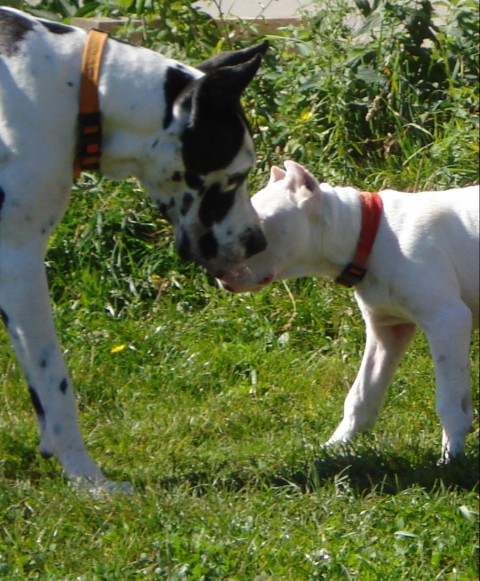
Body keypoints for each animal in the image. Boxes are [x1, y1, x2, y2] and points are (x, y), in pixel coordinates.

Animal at [0, 10, 268, 490]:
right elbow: (55, 385)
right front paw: (89, 480)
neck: (75, 87)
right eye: (237, 174)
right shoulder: (18, 261)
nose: (258, 240)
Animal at [219, 161, 478, 460]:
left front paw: (451, 456)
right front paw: (337, 445)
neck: (369, 233)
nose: (217, 273)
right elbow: (362, 394)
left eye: (256, 227)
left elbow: (449, 401)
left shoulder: (447, 320)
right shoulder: (387, 330)